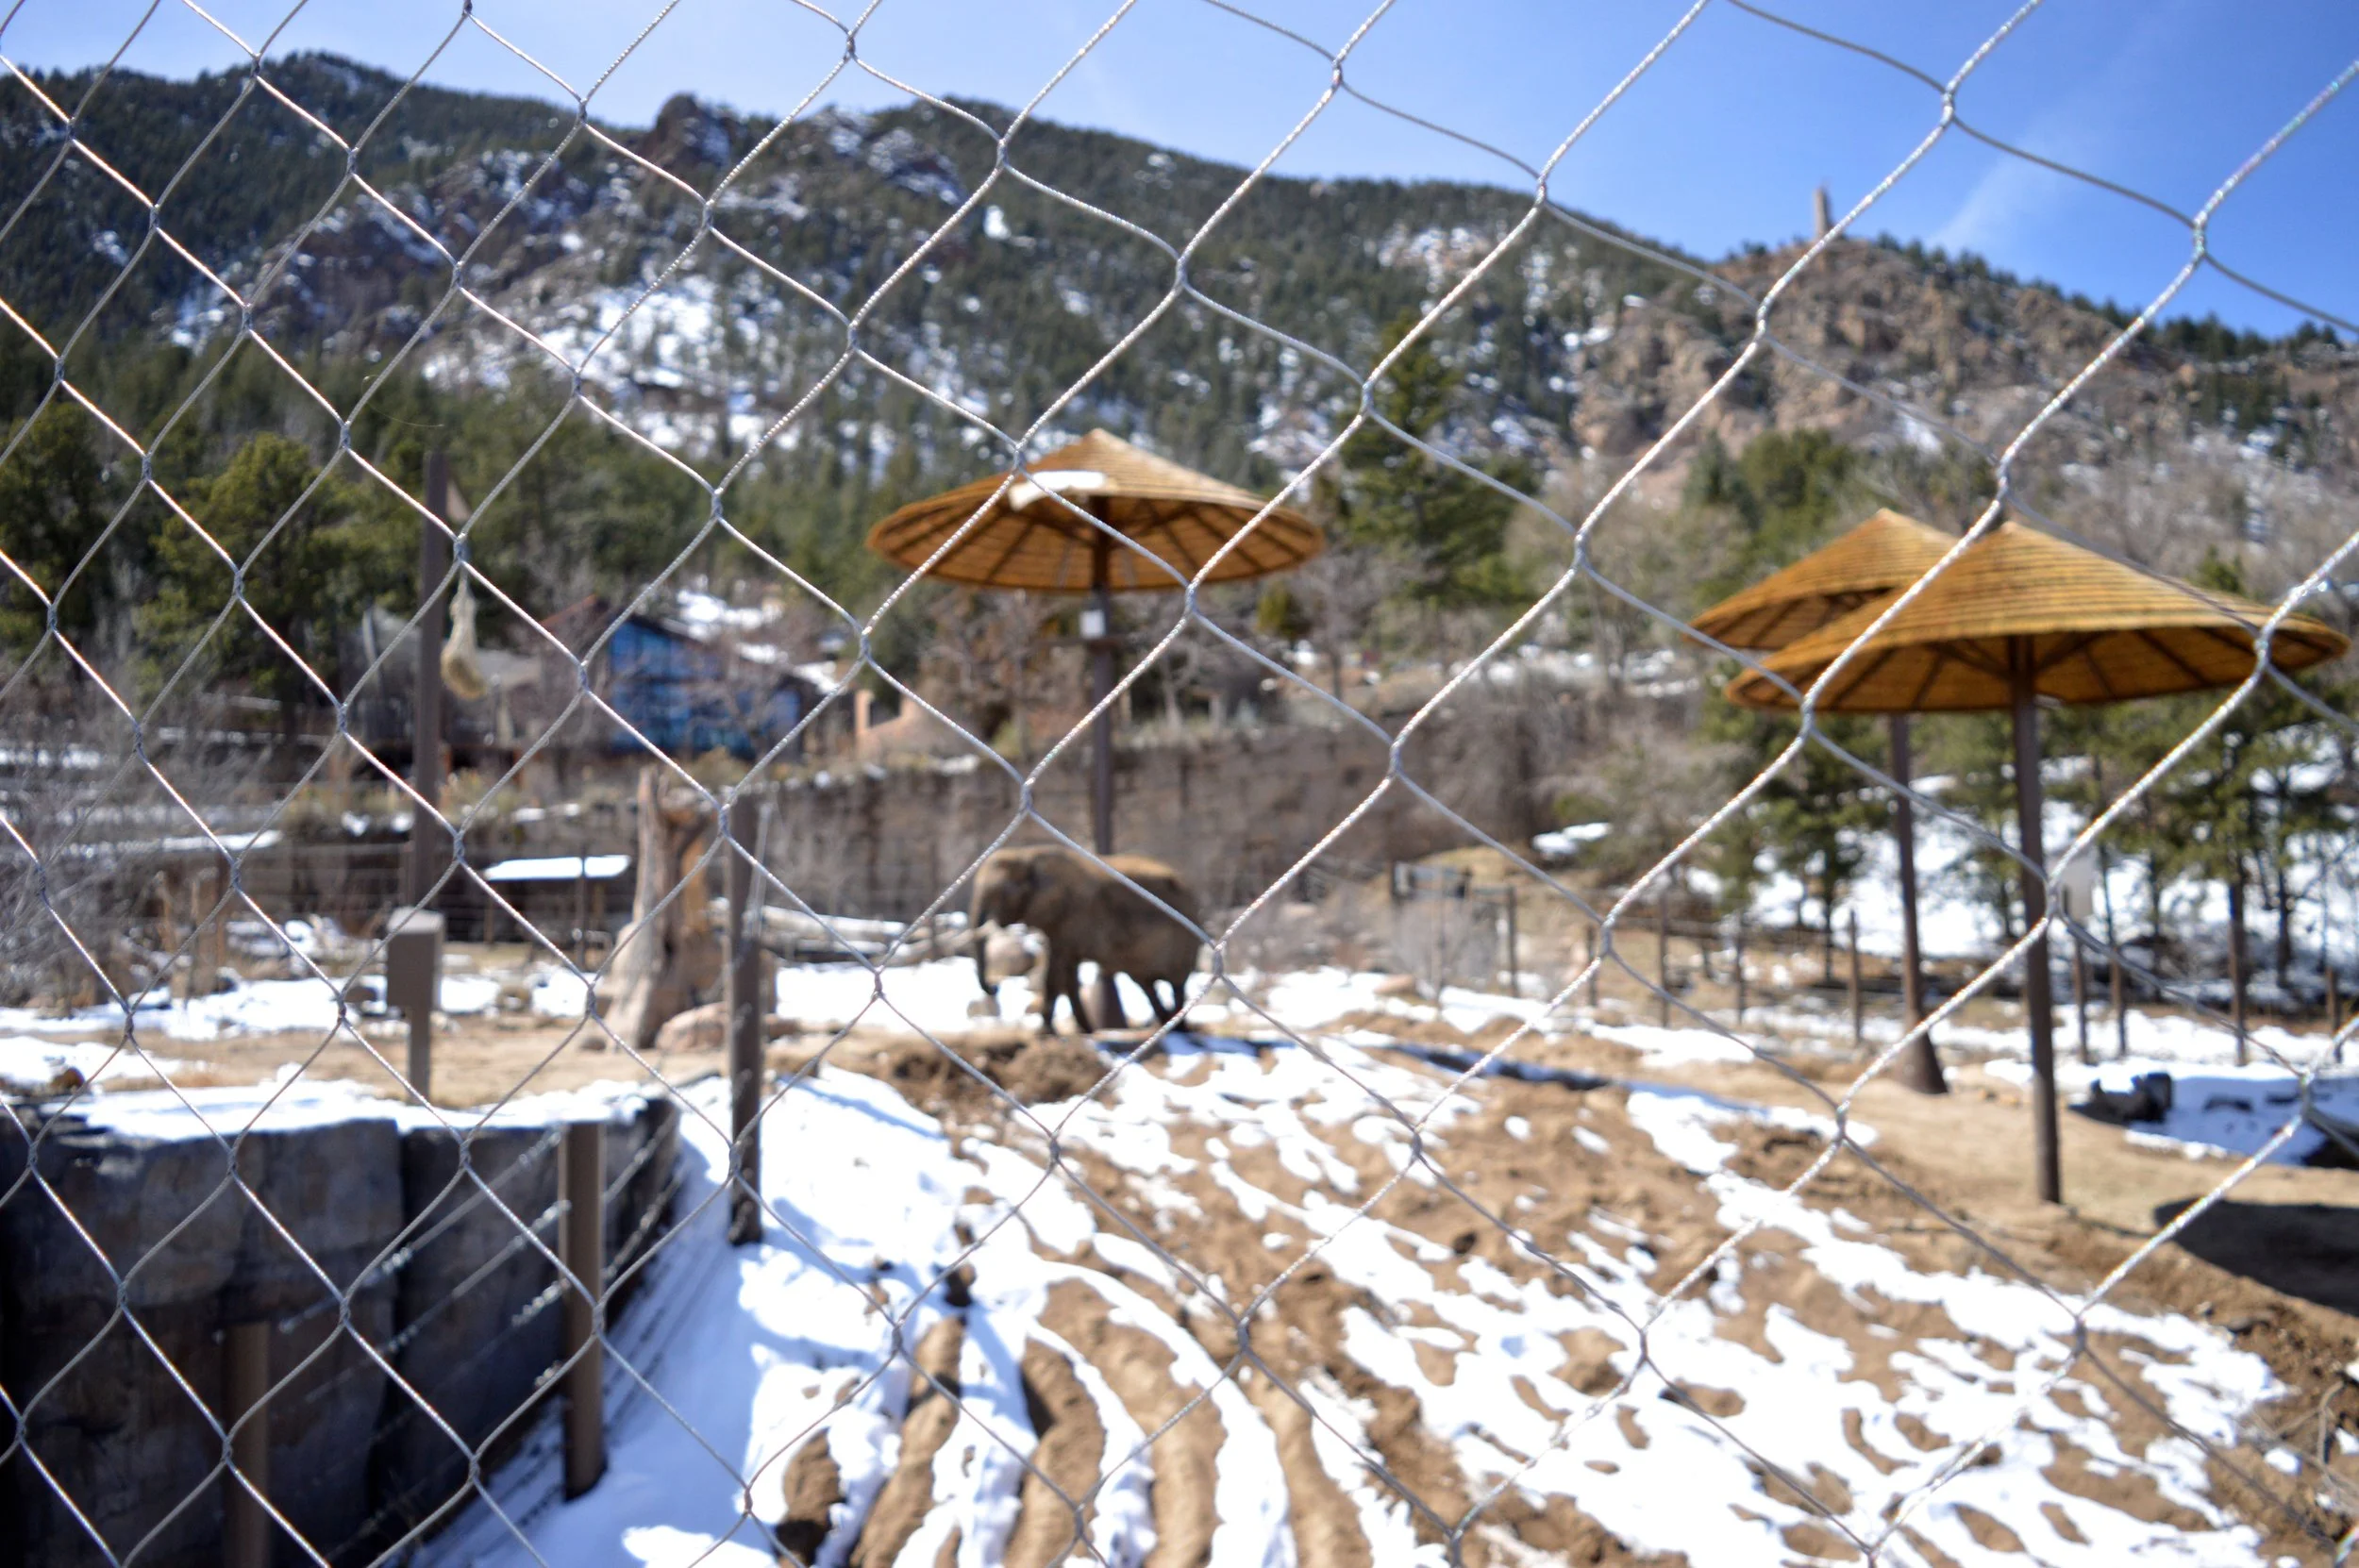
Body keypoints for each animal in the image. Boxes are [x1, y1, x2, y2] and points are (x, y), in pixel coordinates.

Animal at [969, 845, 1203, 1032]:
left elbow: (1056, 973)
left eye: (1001, 894)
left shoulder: (1073, 914)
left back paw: (1180, 1030)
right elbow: (1067, 975)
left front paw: (1045, 1034)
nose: (995, 987)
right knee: (1145, 984)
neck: (1028, 854)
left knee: (1177, 983)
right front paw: (1086, 1032)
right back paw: (1168, 1025)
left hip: (1183, 939)